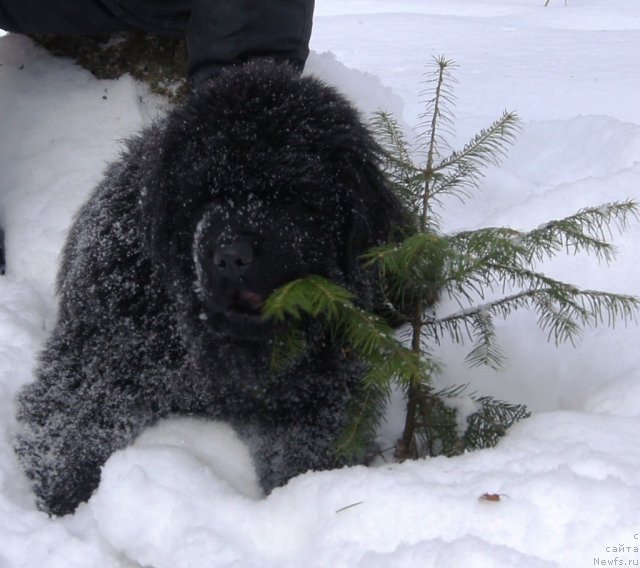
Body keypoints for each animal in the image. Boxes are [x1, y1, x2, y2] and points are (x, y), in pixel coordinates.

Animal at [15, 61, 402, 516]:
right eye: (202, 195)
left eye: (292, 195)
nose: (232, 255)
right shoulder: (98, 356)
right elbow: (70, 428)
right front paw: (70, 500)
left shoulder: (323, 386)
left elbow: (314, 450)